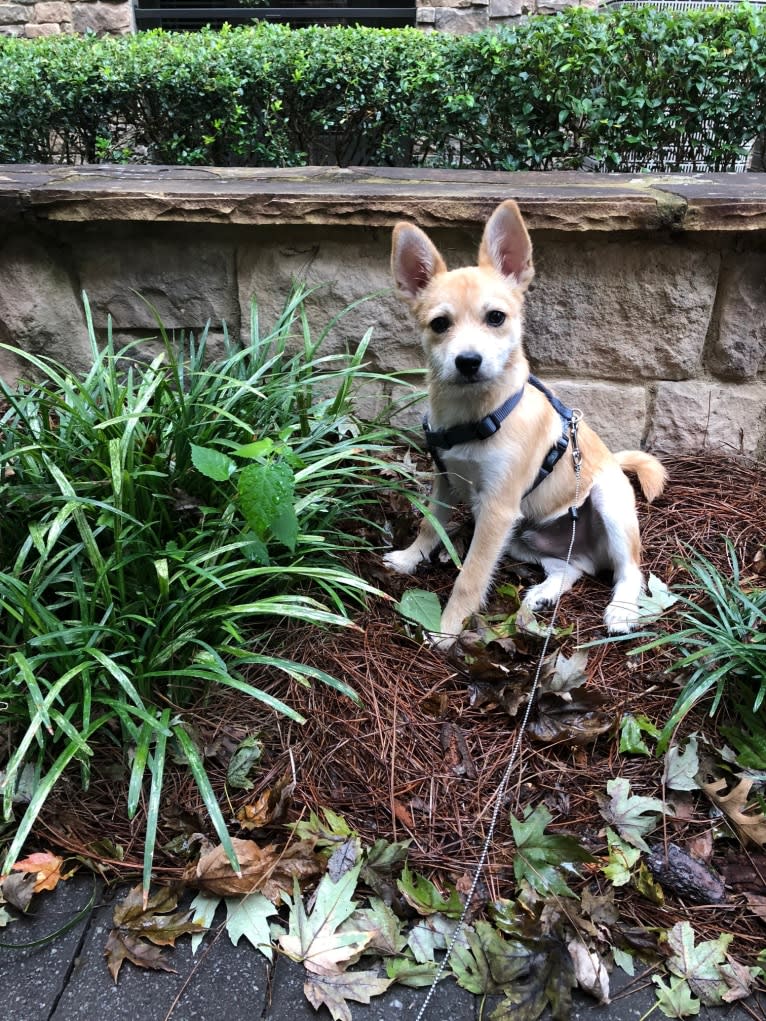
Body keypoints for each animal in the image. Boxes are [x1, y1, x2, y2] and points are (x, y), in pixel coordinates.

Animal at [384, 199, 665, 645]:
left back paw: (621, 610)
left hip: (606, 504)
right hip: (522, 535)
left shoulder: (497, 510)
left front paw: (447, 630)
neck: (476, 414)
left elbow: (470, 577)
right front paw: (411, 558)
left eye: (496, 318)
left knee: (629, 570)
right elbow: (431, 526)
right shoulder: (446, 480)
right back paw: (544, 593)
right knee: (573, 567)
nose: (468, 361)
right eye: (440, 324)